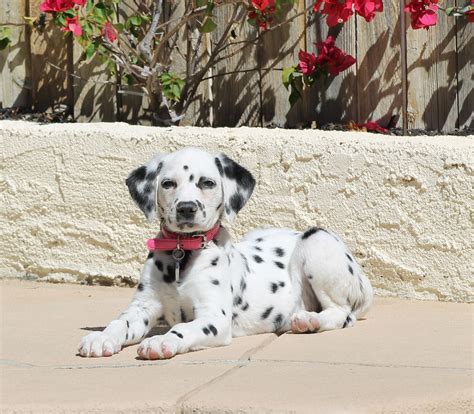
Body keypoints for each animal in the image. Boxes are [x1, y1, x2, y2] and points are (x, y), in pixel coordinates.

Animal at [78, 148, 374, 360]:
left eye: (207, 183)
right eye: (168, 184)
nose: (186, 208)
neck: (182, 252)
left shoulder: (214, 319)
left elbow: (182, 328)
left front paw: (163, 340)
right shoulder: (143, 306)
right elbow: (120, 322)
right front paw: (101, 337)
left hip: (317, 240)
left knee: (341, 313)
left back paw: (309, 320)